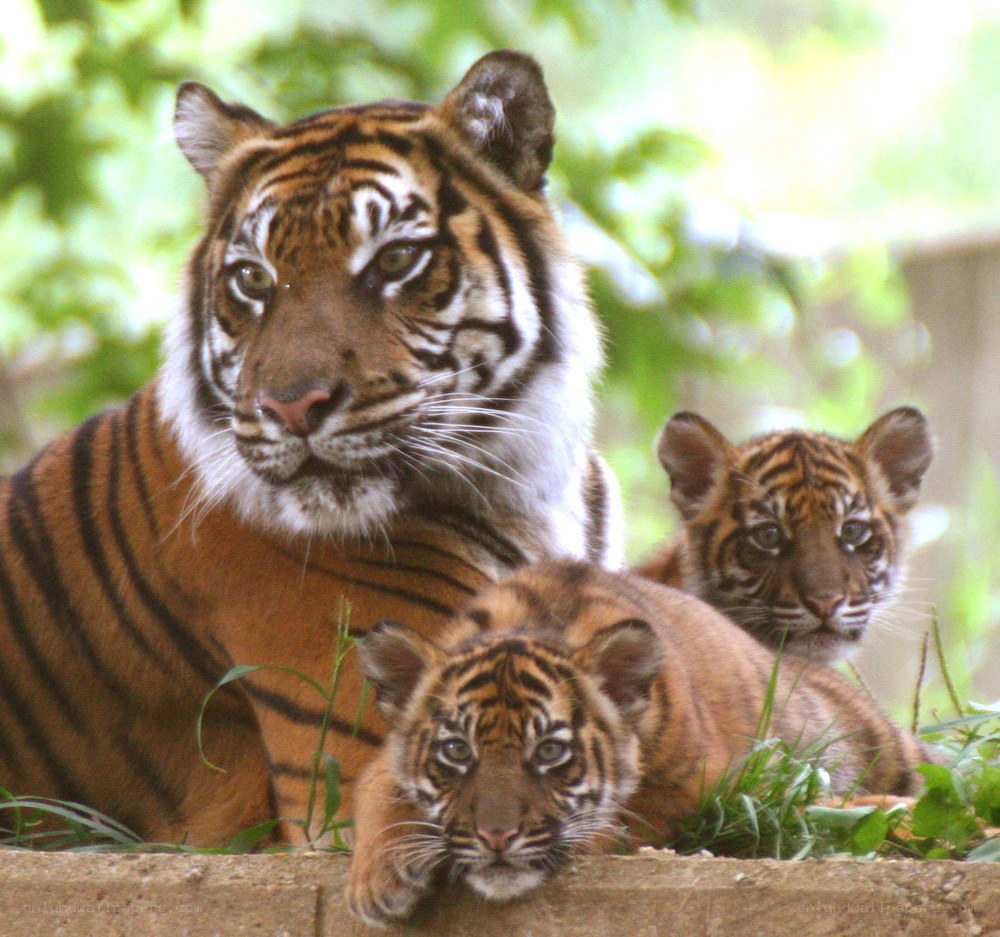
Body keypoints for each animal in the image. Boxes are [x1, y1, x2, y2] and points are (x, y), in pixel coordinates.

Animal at [346, 560, 928, 926]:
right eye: (457, 751)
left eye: (550, 752)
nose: (495, 838)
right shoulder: (386, 761)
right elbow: (377, 791)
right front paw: (378, 876)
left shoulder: (694, 785)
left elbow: (624, 818)